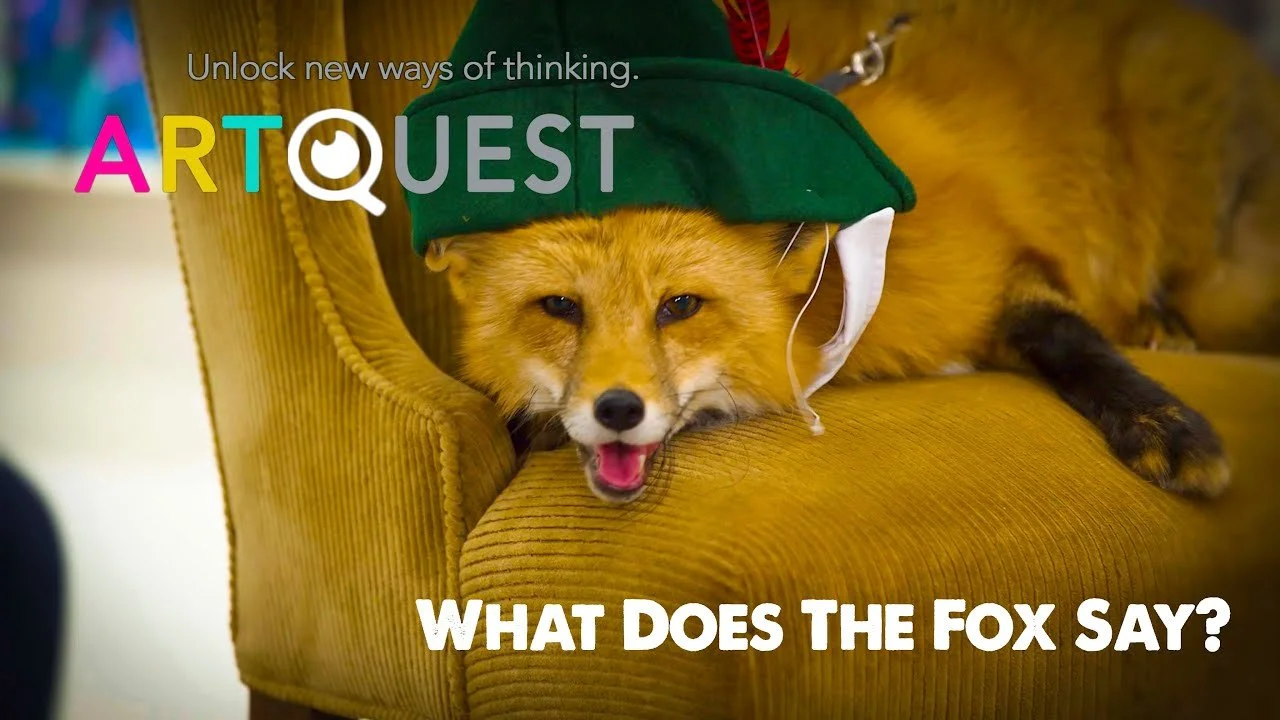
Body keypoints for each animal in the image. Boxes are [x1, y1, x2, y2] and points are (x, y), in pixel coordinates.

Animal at [425, 0, 1280, 503]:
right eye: (559, 308)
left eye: (680, 307)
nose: (617, 409)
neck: (826, 303)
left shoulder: (991, 264)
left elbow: (1066, 334)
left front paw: (1164, 423)